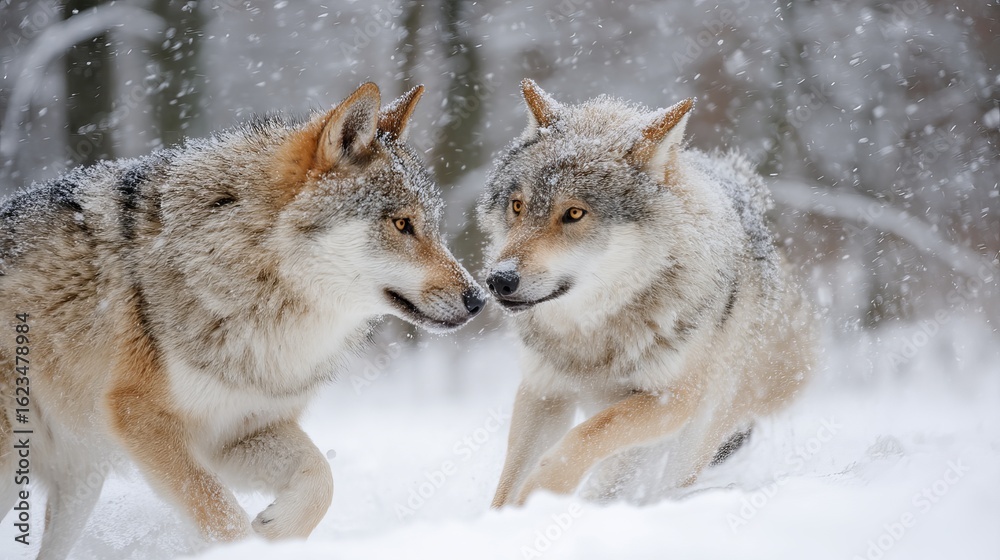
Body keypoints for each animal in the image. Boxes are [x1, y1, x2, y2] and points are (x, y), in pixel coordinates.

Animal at [0, 82, 485, 559]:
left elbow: (322, 478)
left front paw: (276, 531)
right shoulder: (142, 417)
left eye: (434, 227)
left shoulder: (238, 432)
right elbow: (220, 513)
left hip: (78, 486)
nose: (479, 299)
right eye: (402, 224)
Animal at [479, 80, 817, 507]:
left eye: (574, 213)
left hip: (697, 431)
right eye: (517, 206)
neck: (592, 333)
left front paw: (539, 496)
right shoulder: (543, 393)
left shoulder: (672, 398)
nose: (499, 280)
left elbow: (587, 435)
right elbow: (508, 483)